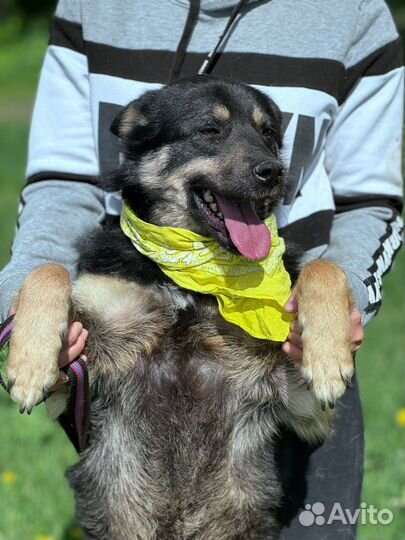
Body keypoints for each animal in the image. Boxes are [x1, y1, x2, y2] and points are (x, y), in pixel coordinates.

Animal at [7, 76, 354, 540]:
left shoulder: (307, 411)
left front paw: (329, 356)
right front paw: (29, 364)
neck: (190, 281)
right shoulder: (74, 391)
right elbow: (48, 270)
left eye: (268, 133)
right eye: (210, 130)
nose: (274, 172)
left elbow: (324, 266)